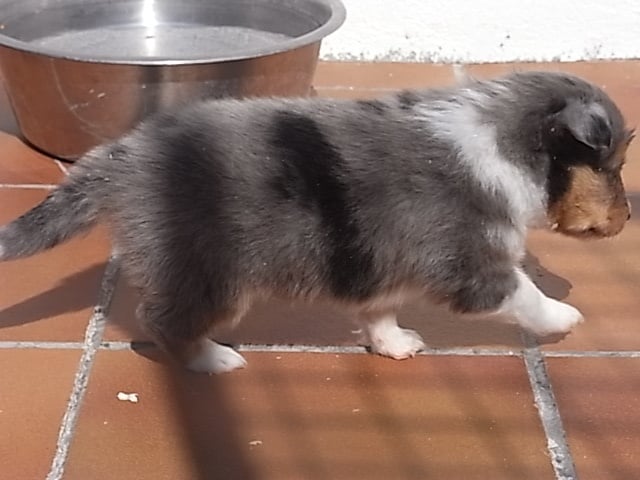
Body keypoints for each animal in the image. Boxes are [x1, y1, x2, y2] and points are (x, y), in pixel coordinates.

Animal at [0, 71, 633, 374]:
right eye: (614, 164)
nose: (629, 219)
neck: (503, 148)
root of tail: (125, 155)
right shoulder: (472, 265)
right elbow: (523, 293)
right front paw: (564, 317)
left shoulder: (382, 260)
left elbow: (380, 310)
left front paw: (393, 345)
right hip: (212, 275)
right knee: (164, 321)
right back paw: (212, 361)